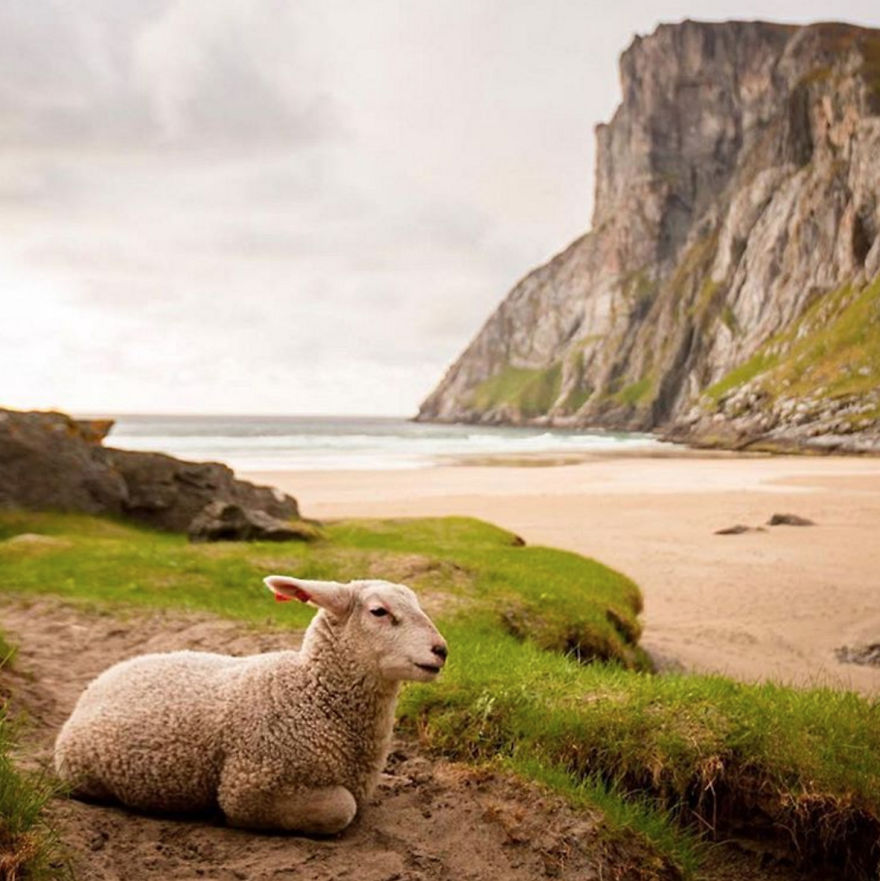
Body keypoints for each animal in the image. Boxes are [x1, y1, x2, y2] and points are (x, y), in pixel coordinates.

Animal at [54, 575, 448, 834]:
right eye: (379, 612)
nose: (441, 650)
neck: (313, 696)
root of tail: (95, 685)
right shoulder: (250, 785)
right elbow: (342, 808)